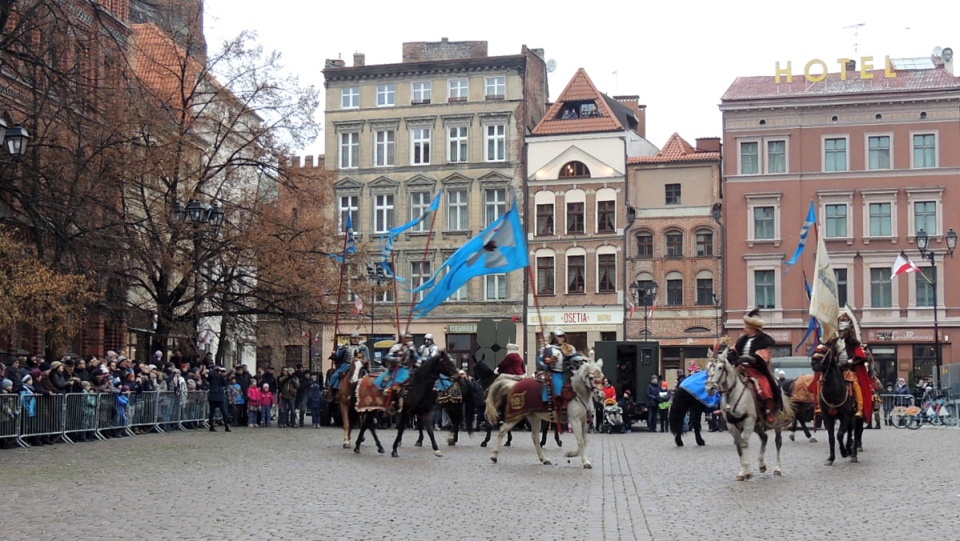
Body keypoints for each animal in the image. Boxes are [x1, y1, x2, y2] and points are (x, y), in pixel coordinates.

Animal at [704, 338, 796, 480]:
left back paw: (777, 469)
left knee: (777, 442)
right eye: (708, 367)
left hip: (776, 422)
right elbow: (739, 447)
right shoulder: (732, 425)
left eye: (720, 367)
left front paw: (747, 471)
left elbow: (744, 443)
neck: (734, 394)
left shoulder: (748, 422)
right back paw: (762, 465)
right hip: (757, 424)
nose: (710, 388)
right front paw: (743, 471)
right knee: (764, 437)